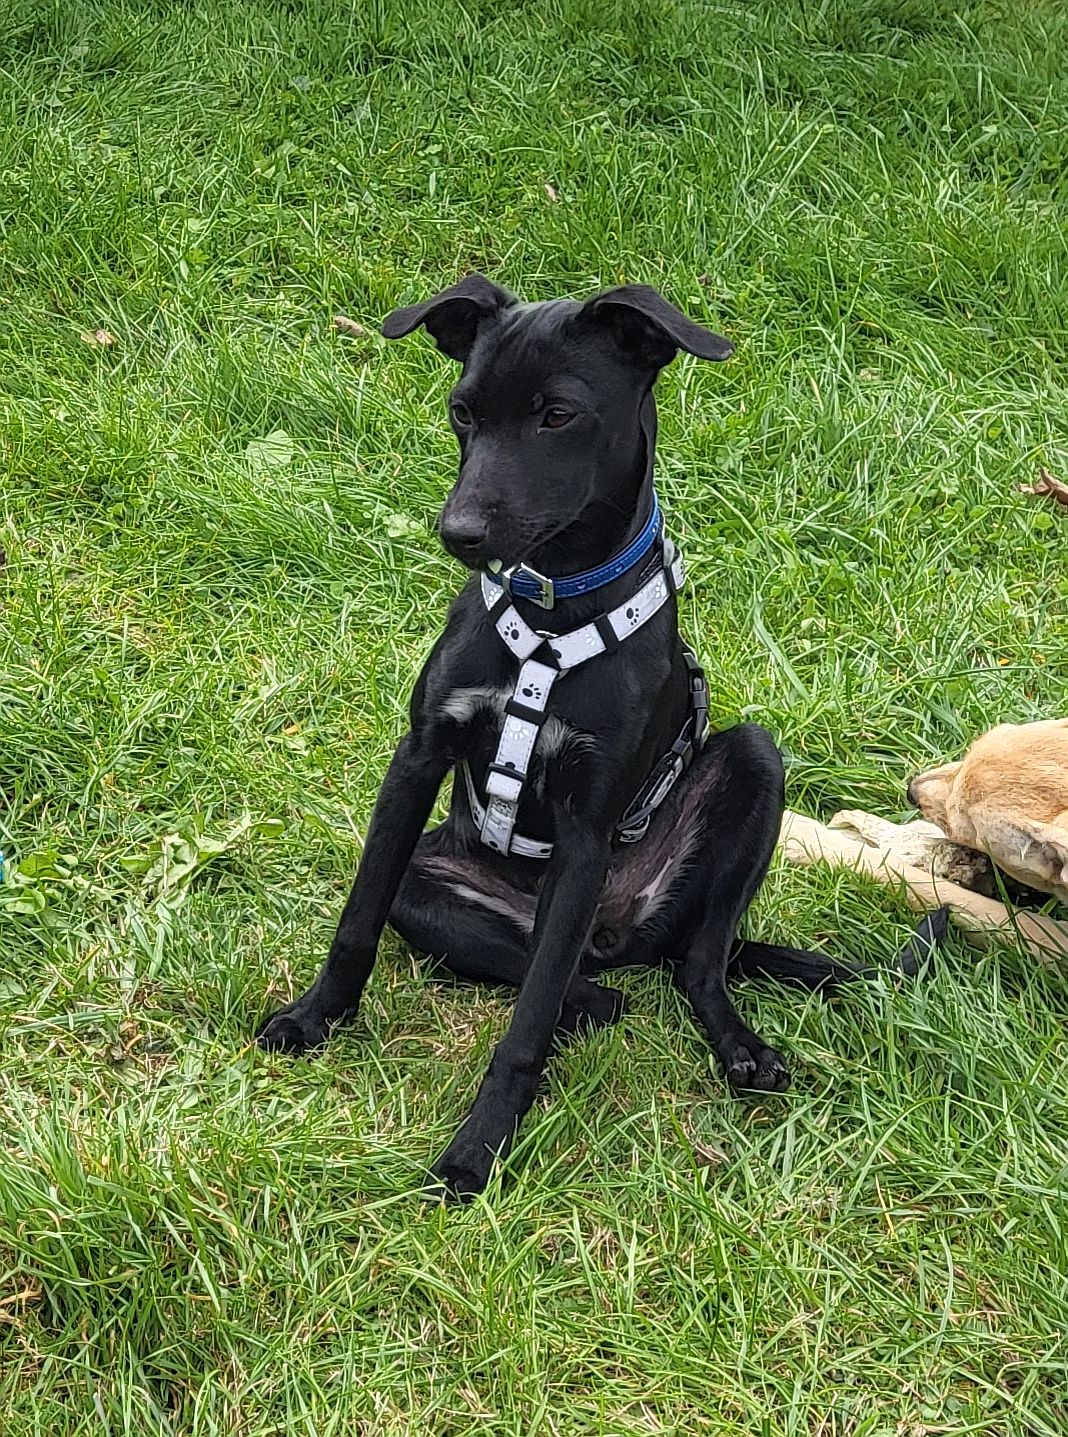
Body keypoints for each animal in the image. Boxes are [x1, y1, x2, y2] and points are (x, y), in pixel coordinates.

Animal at [257, 276, 850, 1200]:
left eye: (557, 416)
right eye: (463, 412)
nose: (458, 532)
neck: (552, 610)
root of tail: (619, 936)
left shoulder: (585, 825)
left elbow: (526, 1022)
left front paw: (479, 1144)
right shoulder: (416, 759)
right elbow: (358, 918)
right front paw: (316, 1017)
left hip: (751, 764)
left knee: (692, 963)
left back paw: (738, 1044)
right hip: (436, 888)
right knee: (576, 981)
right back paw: (596, 1001)